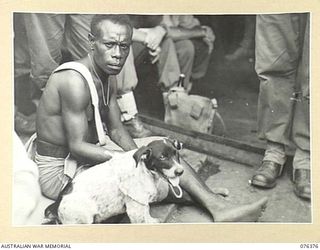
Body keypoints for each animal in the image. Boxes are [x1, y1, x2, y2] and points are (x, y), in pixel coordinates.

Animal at [43, 139, 186, 225]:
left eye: (176, 154)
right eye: (162, 157)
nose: (180, 171)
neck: (145, 171)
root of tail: (56, 205)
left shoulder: (141, 201)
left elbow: (147, 212)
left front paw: (152, 221)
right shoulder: (135, 207)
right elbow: (141, 220)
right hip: (82, 219)